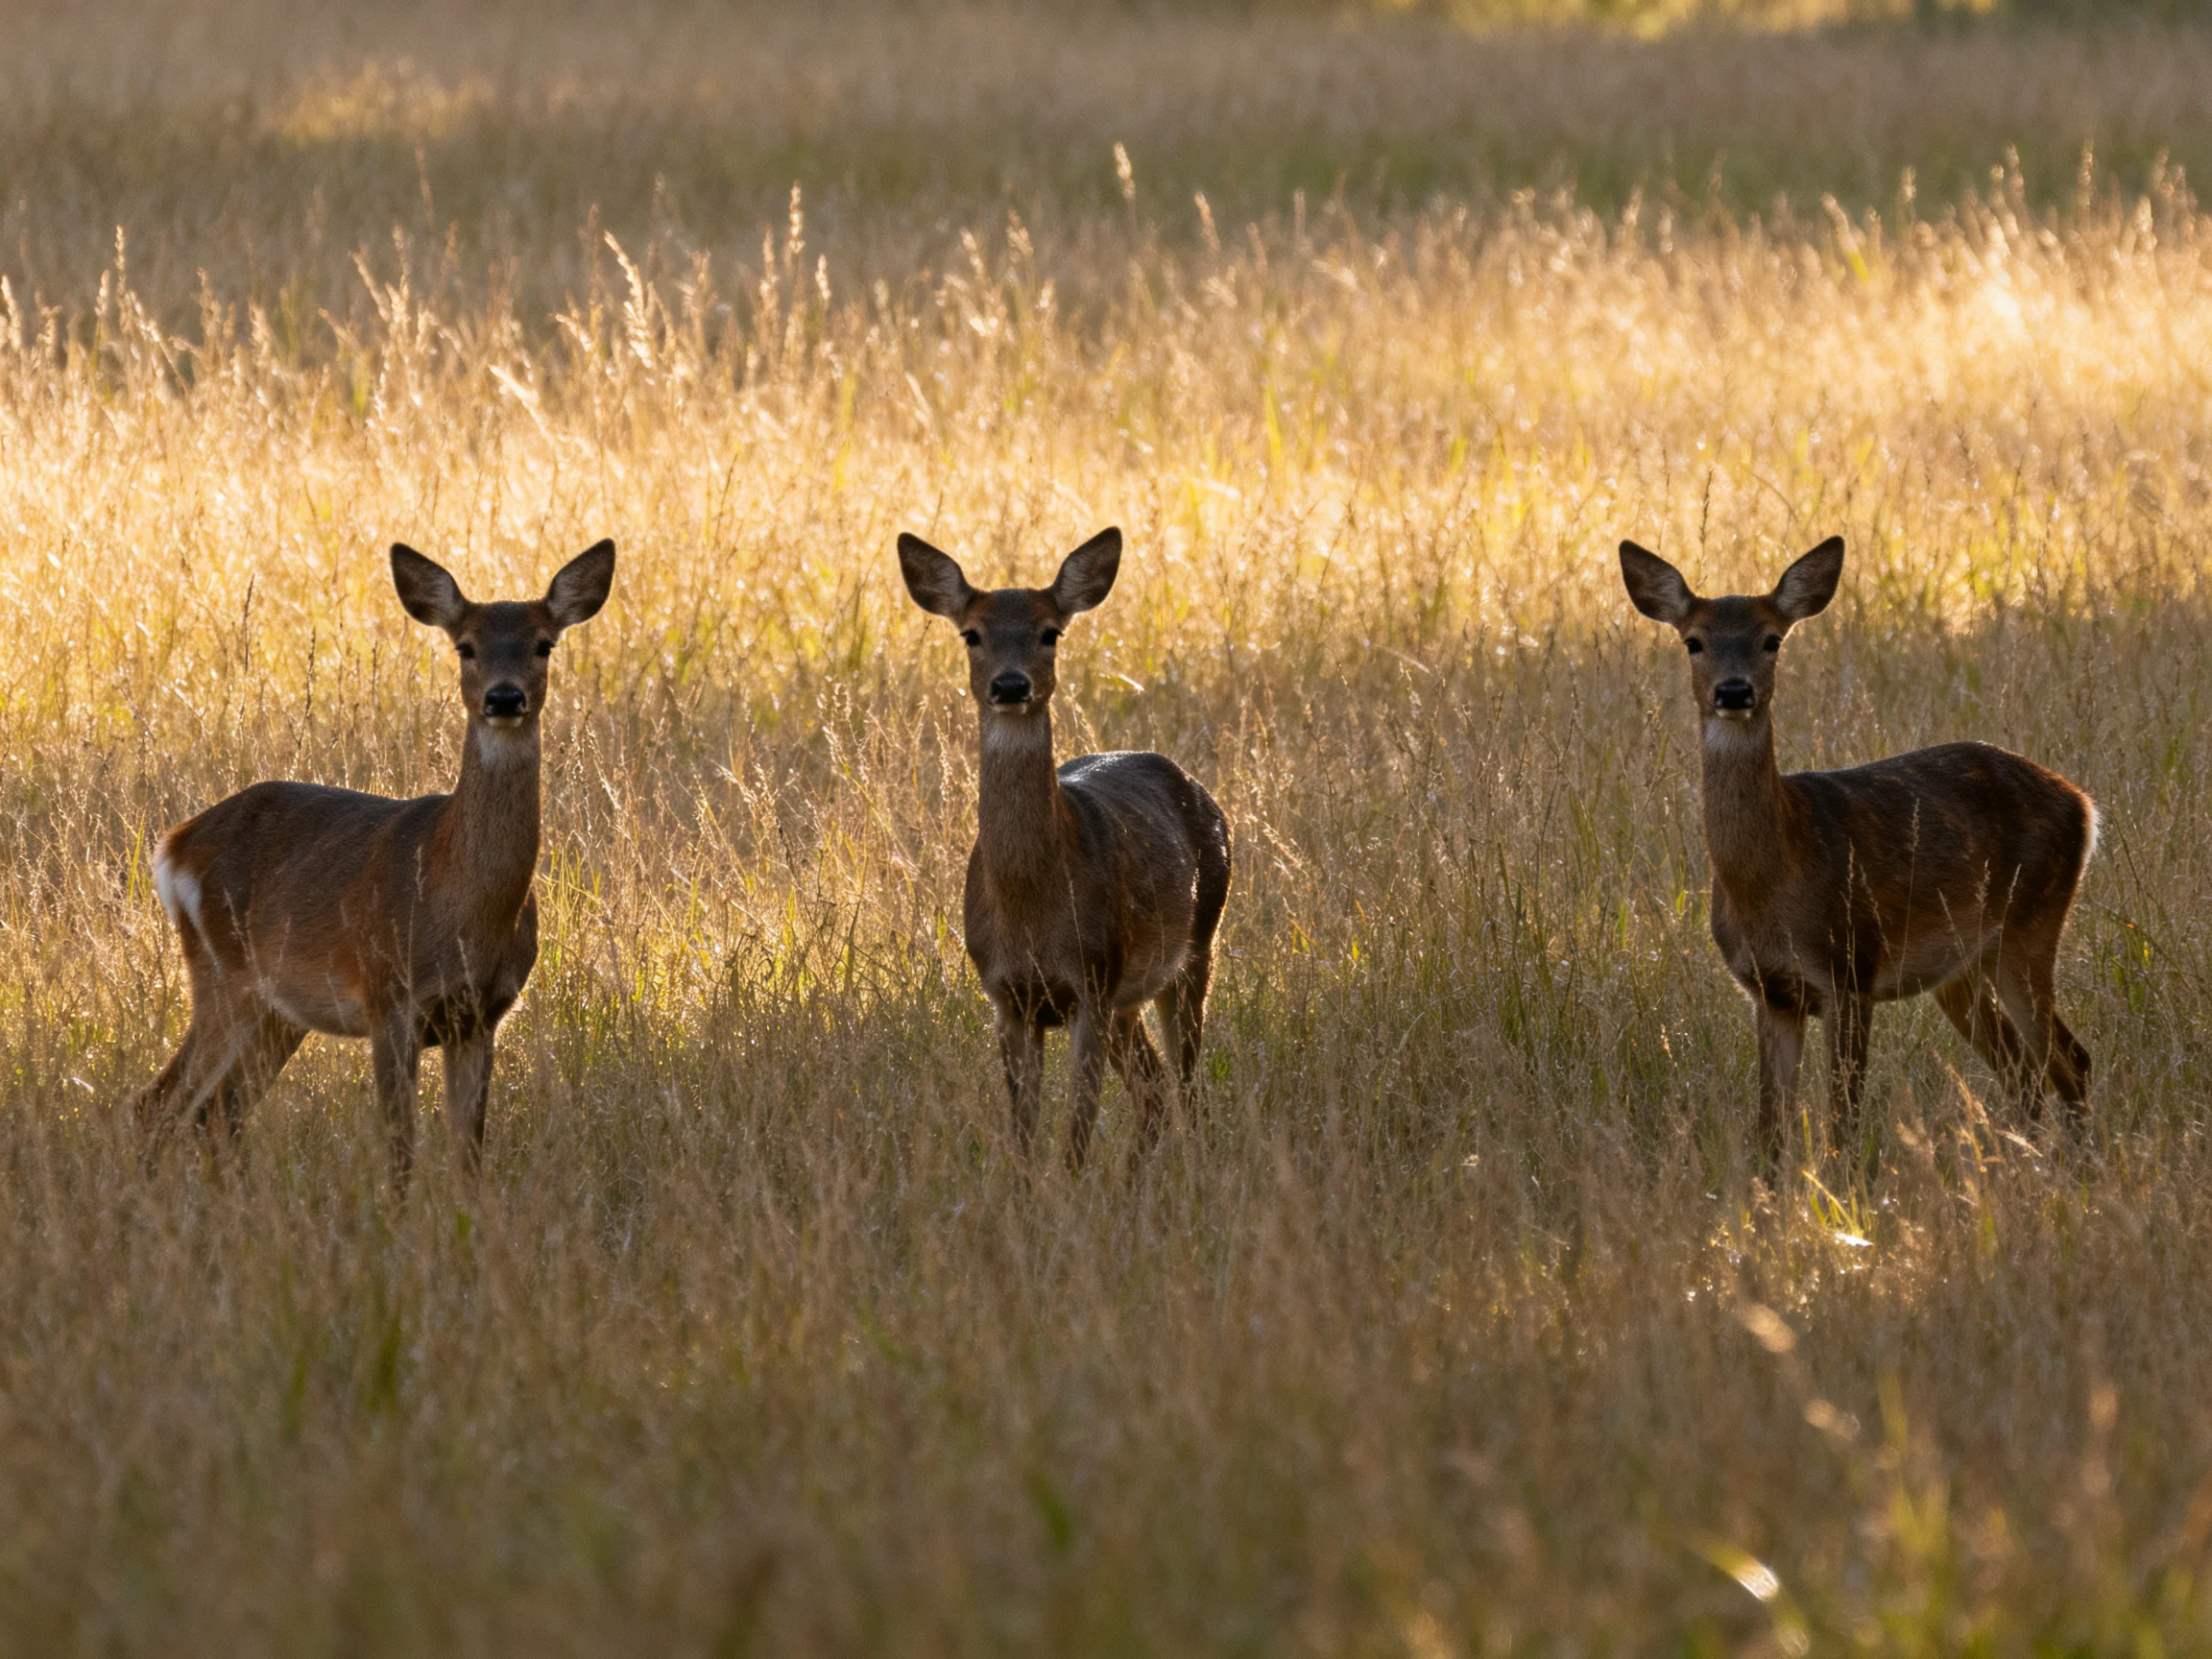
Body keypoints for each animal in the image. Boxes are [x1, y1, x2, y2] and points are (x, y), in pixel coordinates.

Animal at [131, 540, 616, 1186]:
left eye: (544, 644)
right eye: (465, 646)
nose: (505, 697)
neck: (458, 908)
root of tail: (176, 844)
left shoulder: (481, 1016)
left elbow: (469, 1153)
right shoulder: (389, 1000)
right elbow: (400, 1149)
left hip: (280, 1010)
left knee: (217, 1113)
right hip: (221, 973)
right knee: (159, 1104)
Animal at [898, 527, 1232, 1172]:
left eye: (1051, 631)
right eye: (971, 633)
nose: (1010, 684)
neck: (1031, 914)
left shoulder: (1092, 982)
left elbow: (1077, 1132)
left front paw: (1073, 1191)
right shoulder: (1007, 996)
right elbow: (1023, 1137)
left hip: (1196, 944)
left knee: (1188, 1087)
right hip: (1129, 994)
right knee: (1154, 1090)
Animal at [1618, 535, 2095, 1167]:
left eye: (1772, 639)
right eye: (1692, 641)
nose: (1734, 691)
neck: (1775, 879)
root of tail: (2083, 804)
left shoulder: (1850, 969)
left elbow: (1841, 1124)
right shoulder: (1771, 991)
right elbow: (1772, 1129)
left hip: (2031, 924)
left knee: (2069, 1060)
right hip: (1961, 970)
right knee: (2022, 1071)